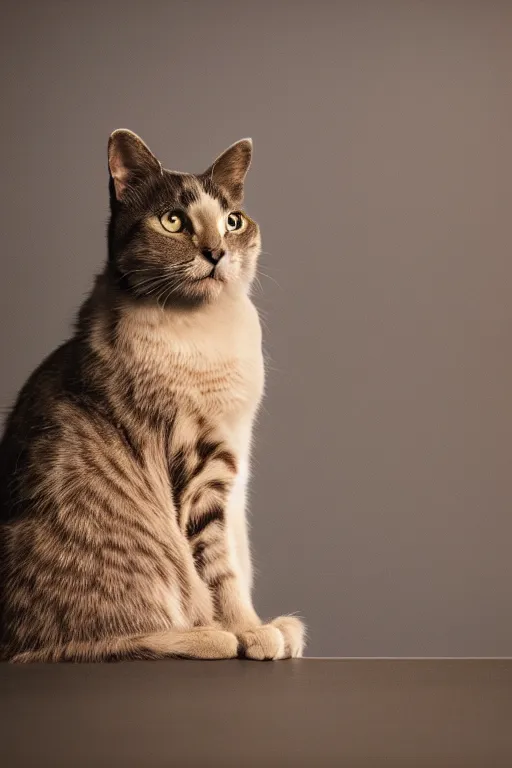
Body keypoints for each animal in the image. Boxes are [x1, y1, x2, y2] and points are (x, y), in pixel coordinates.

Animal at [0, 130, 304, 660]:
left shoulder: (236, 463)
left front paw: (260, 625)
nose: (216, 252)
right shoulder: (199, 461)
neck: (206, 331)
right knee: (102, 643)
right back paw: (210, 636)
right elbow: (220, 568)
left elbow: (239, 555)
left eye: (232, 219)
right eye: (173, 220)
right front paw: (248, 631)